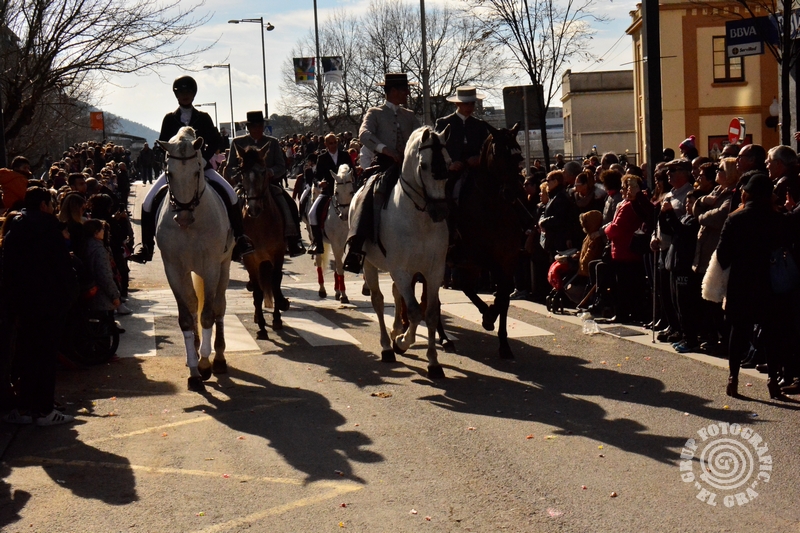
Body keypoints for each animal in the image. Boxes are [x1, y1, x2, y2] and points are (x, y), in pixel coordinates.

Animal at [155, 126, 233, 391]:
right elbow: (187, 318)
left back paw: (218, 358)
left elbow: (208, 314)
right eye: (169, 173)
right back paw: (198, 352)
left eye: (197, 170)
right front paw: (193, 370)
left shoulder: (211, 267)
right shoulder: (173, 269)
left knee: (219, 306)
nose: (183, 218)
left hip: (224, 266)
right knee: (192, 303)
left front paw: (205, 365)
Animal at [230, 142, 289, 339]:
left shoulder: (278, 254)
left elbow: (275, 283)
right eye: (242, 173)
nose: (252, 208)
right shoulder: (250, 258)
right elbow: (257, 291)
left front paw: (277, 319)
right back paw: (257, 317)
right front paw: (262, 328)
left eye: (264, 172)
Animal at [352, 126, 452, 378]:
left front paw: (433, 362)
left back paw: (396, 330)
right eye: (424, 165)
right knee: (378, 301)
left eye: (448, 161)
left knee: (396, 296)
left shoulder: (434, 272)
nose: (440, 211)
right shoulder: (403, 271)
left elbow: (431, 313)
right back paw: (388, 346)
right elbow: (415, 312)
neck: (419, 219)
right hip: (370, 265)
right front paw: (403, 342)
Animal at [440, 124, 525, 359]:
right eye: (497, 153)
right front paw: (489, 317)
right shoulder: (485, 260)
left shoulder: (507, 260)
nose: (513, 191)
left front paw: (503, 343)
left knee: (465, 287)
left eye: (518, 153)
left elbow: (504, 297)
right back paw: (443, 338)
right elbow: (500, 297)